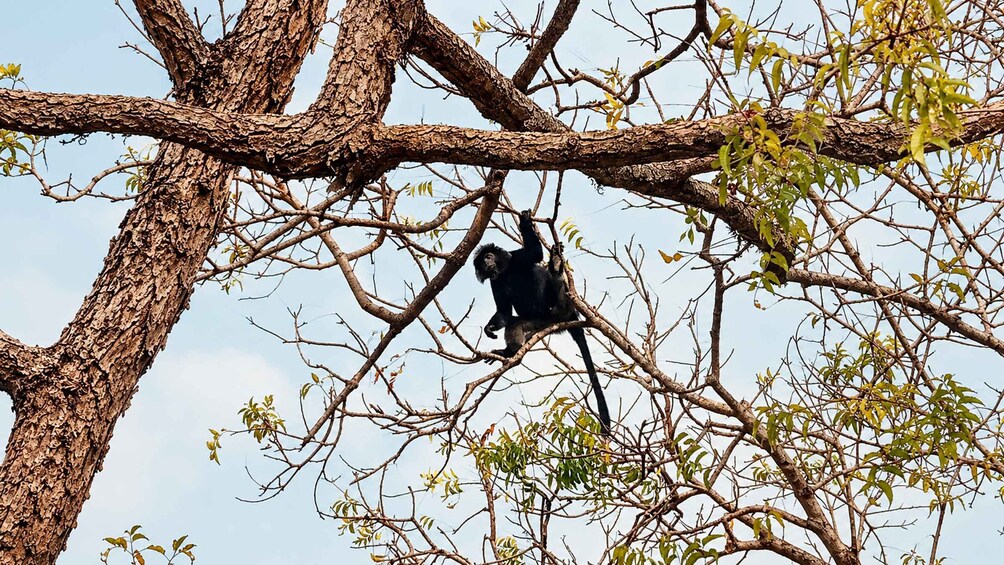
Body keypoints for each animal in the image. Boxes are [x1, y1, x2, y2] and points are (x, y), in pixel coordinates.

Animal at [472, 209, 612, 434]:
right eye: (483, 263)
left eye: (488, 256)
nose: (486, 263)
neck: (505, 271)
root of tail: (569, 316)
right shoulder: (495, 281)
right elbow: (504, 312)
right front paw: (490, 327)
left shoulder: (514, 257)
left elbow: (535, 255)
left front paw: (525, 221)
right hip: (543, 322)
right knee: (515, 324)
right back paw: (509, 352)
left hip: (559, 310)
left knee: (548, 279)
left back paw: (555, 267)